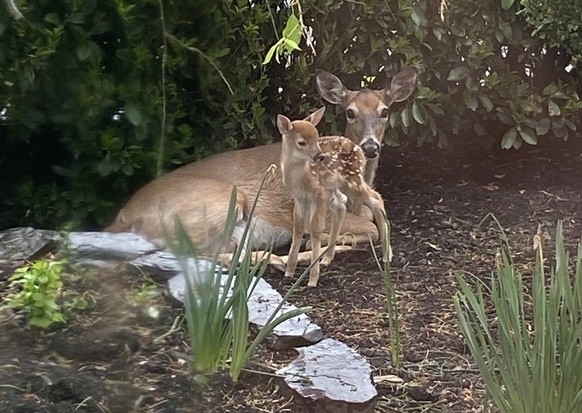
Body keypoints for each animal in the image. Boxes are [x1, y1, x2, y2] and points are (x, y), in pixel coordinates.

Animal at [106, 67, 420, 253]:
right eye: (350, 112)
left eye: (385, 111)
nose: (370, 147)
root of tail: (121, 217)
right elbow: (372, 228)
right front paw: (324, 240)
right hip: (220, 201)